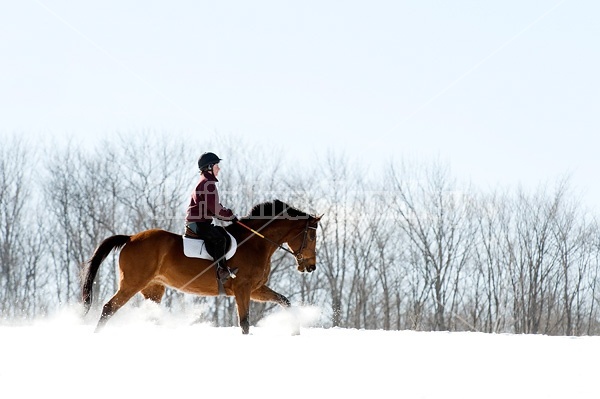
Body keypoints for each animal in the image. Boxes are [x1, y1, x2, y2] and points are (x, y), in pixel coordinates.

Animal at [83, 200, 324, 334]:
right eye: (312, 236)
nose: (311, 266)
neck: (256, 241)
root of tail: (131, 238)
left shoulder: (255, 289)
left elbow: (285, 301)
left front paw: (296, 331)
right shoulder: (243, 289)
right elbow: (245, 323)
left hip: (153, 289)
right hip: (132, 284)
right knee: (109, 308)